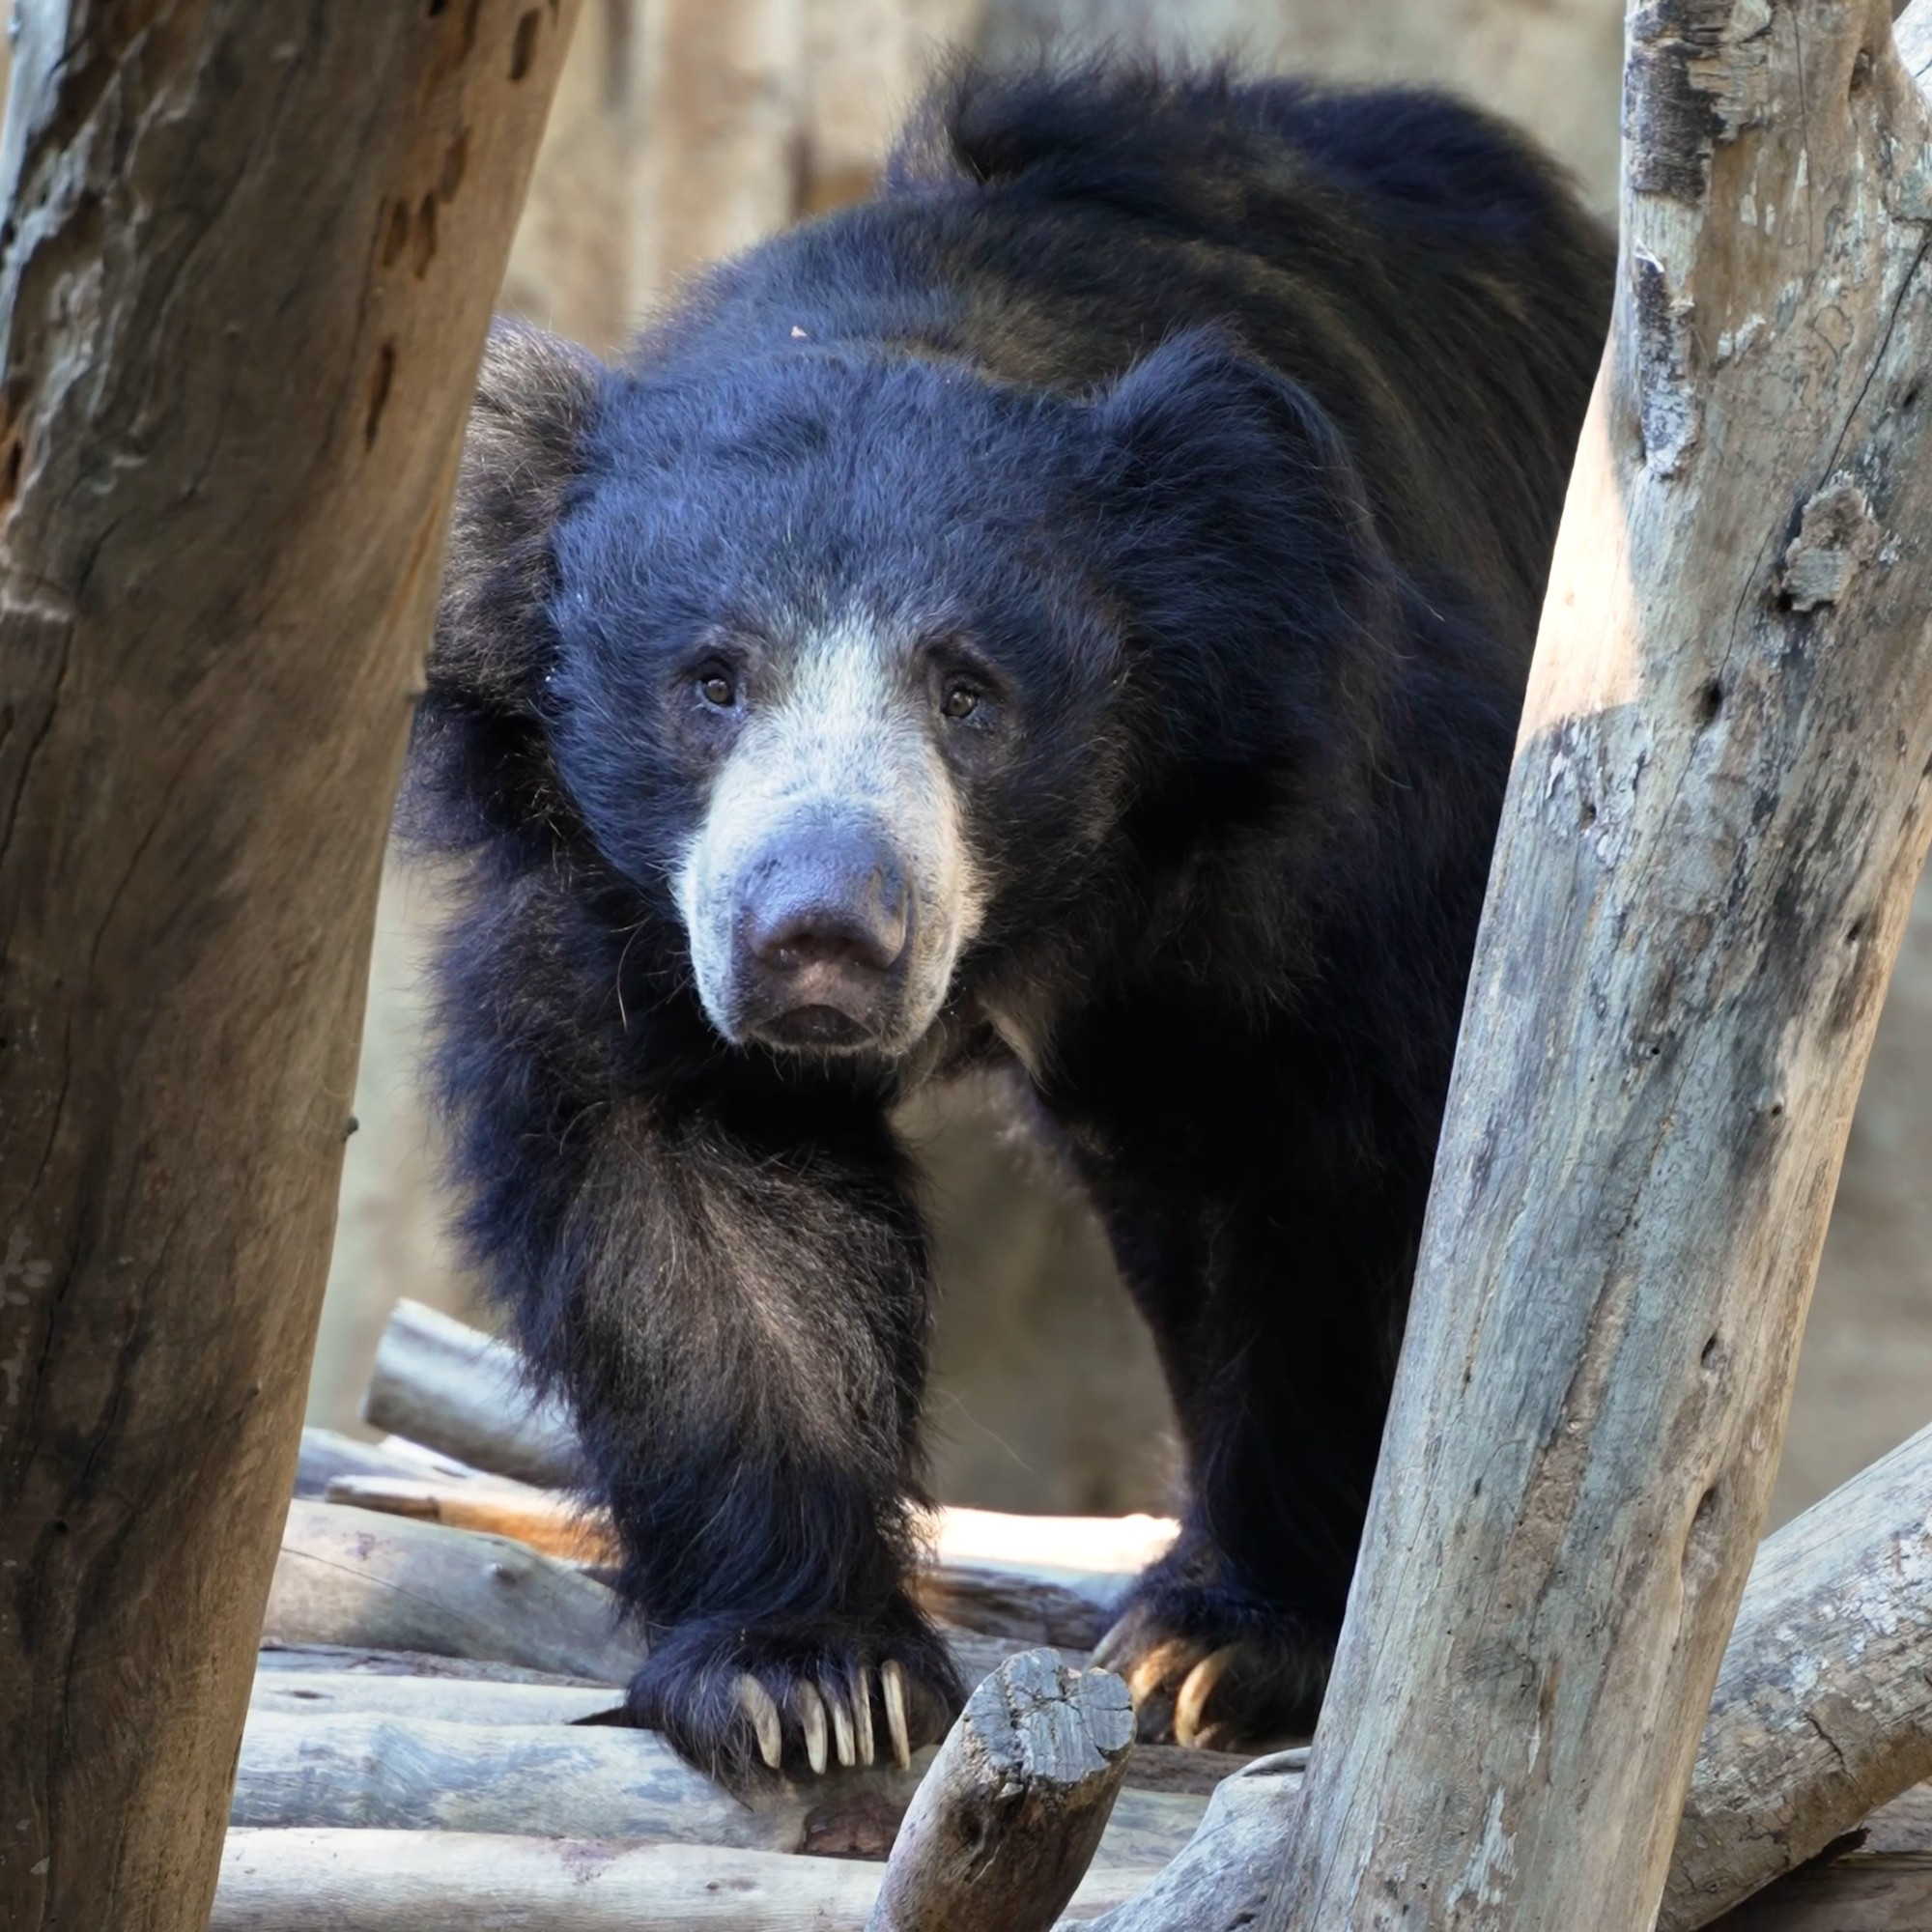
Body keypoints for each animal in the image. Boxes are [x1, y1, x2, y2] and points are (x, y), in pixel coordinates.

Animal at [412, 60, 1615, 1777]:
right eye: (711, 683)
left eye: (969, 695)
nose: (822, 938)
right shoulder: (621, 907)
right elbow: (691, 1195)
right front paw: (805, 1678)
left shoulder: (1325, 834)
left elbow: (1350, 1171)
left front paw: (1232, 1643)